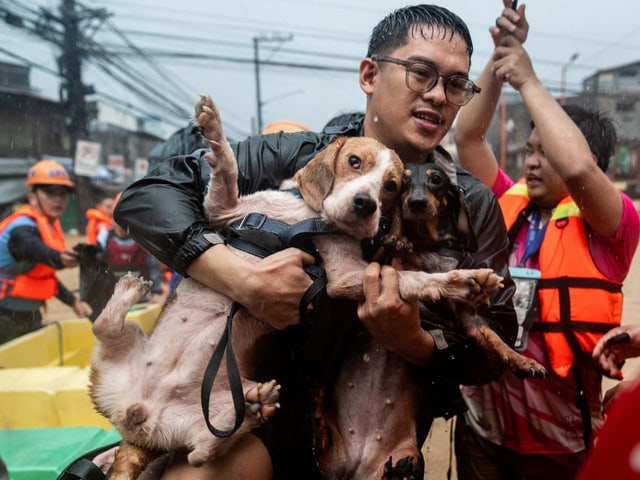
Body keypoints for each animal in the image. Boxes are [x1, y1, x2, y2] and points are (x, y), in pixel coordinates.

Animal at [86, 95, 504, 478]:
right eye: (355, 162)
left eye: (391, 186)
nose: (365, 205)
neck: (309, 217)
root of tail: (139, 421)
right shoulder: (224, 210)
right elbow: (228, 167)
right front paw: (213, 127)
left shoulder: (343, 275)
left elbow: (411, 279)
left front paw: (461, 282)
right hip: (113, 362)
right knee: (104, 329)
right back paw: (128, 293)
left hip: (195, 418)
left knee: (201, 451)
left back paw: (254, 405)